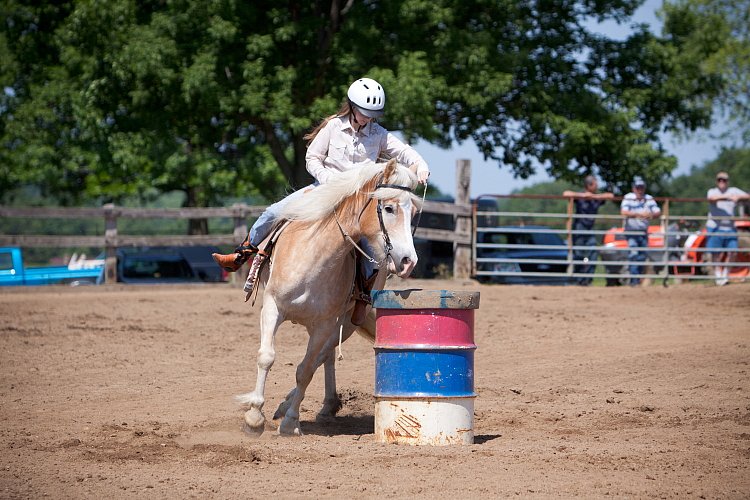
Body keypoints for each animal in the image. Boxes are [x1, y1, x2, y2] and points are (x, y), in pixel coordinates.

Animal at [236, 159, 424, 434]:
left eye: (413, 213)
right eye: (389, 208)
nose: (409, 261)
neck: (313, 257)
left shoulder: (325, 324)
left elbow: (305, 370)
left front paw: (291, 421)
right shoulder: (272, 307)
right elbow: (266, 357)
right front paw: (253, 417)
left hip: (347, 322)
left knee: (324, 355)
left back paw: (313, 405)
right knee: (324, 357)